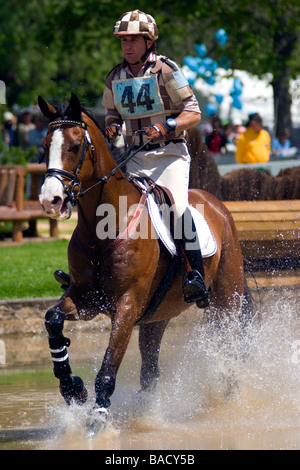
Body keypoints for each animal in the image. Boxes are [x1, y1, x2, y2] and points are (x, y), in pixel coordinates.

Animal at [37, 92, 252, 434]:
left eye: (74, 146)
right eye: (45, 146)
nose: (50, 200)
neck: (103, 227)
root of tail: (218, 206)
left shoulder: (127, 307)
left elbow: (110, 363)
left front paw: (98, 417)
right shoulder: (86, 300)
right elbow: (53, 319)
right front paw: (72, 388)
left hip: (225, 302)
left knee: (227, 348)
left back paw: (228, 404)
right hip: (156, 316)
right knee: (150, 369)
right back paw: (148, 415)